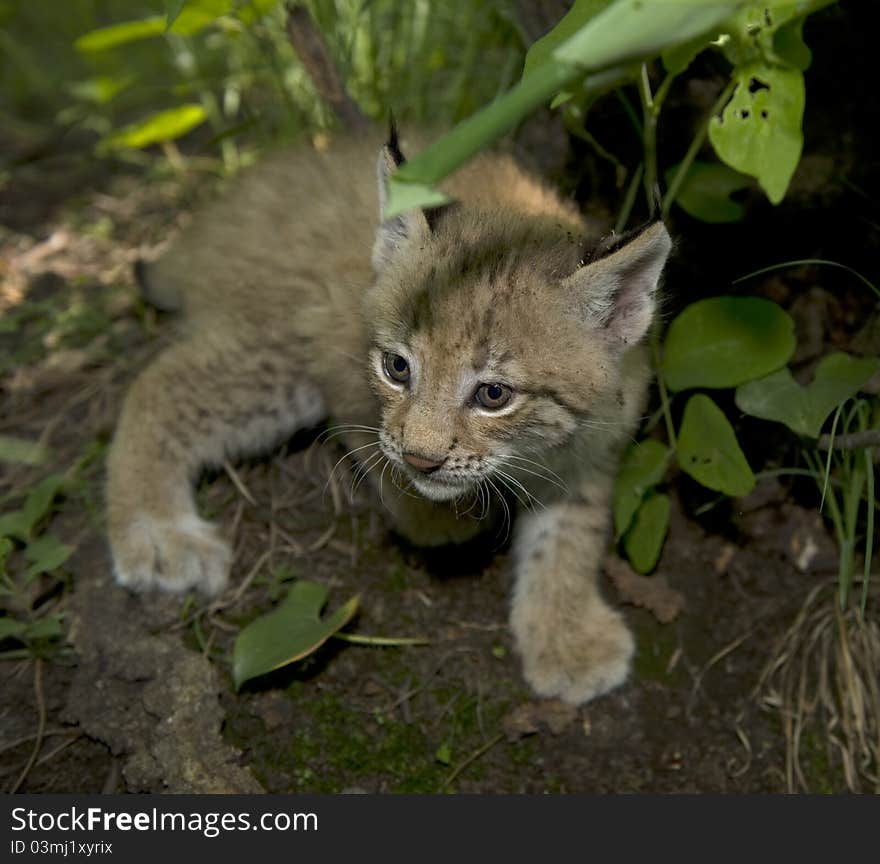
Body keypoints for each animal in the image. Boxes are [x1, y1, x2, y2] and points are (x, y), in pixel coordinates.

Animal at [106, 130, 672, 708]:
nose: (423, 461)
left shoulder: (597, 441)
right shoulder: (341, 359)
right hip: (279, 348)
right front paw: (433, 517)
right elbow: (374, 442)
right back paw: (158, 533)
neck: (531, 450)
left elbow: (571, 533)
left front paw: (565, 636)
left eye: (494, 395)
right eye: (398, 368)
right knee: (160, 384)